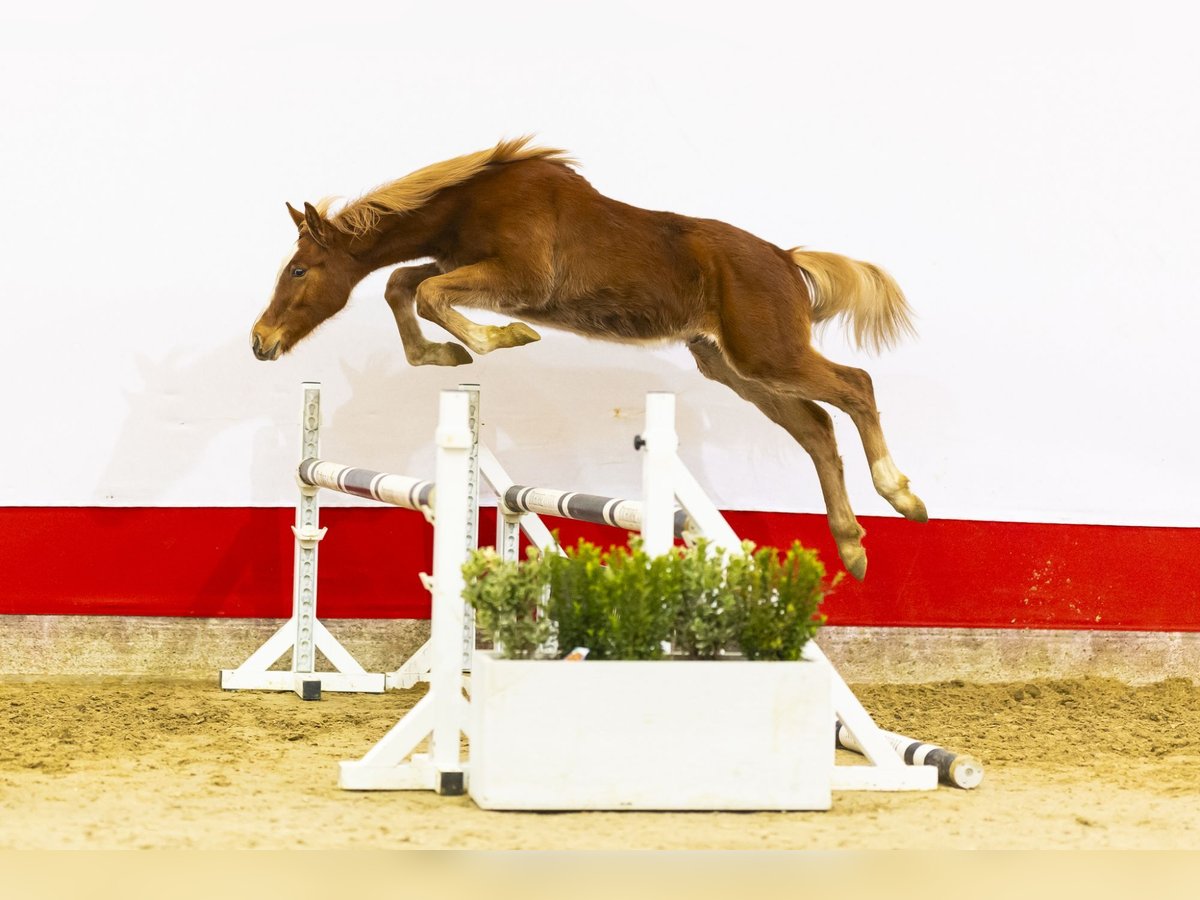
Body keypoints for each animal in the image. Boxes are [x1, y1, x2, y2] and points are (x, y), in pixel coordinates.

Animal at [250, 137, 926, 580]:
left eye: (299, 270)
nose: (260, 341)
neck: (469, 204)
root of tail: (788, 259)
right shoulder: (461, 265)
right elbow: (405, 286)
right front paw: (444, 353)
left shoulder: (516, 279)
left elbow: (427, 292)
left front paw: (504, 339)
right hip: (733, 366)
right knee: (816, 427)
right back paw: (853, 548)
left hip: (768, 354)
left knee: (856, 386)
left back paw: (901, 496)